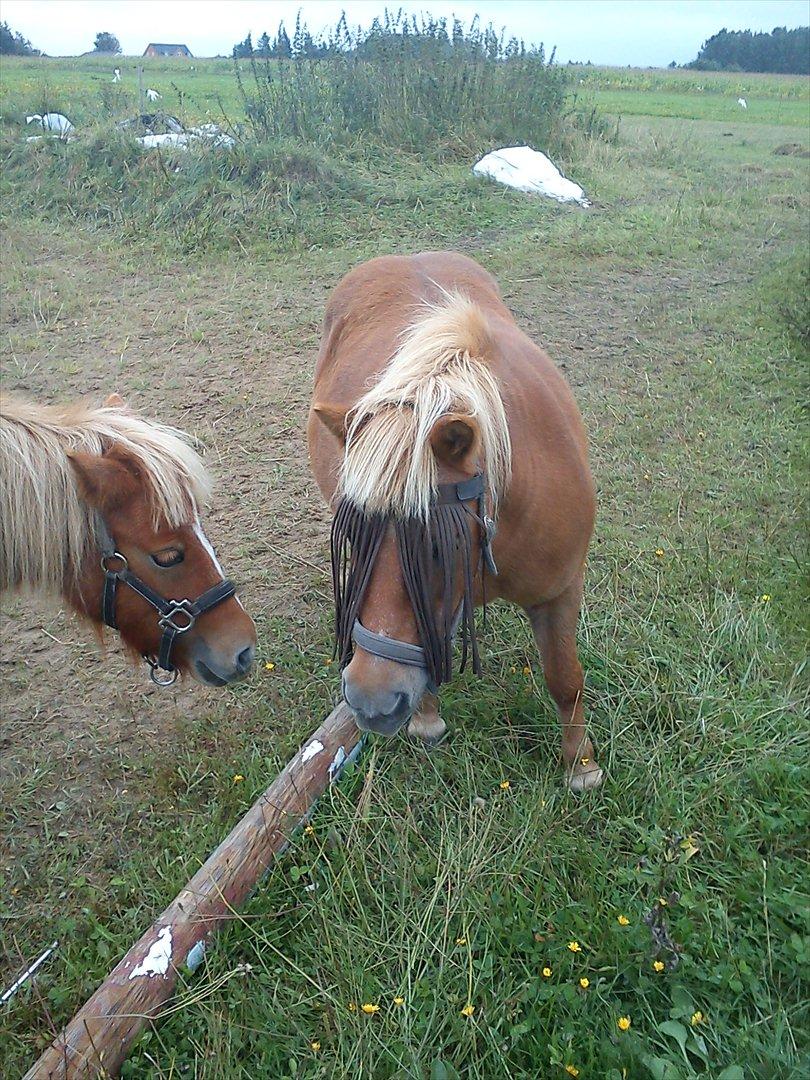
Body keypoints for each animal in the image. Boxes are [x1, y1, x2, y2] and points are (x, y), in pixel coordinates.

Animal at [311, 252, 604, 794]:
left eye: (435, 545)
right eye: (354, 537)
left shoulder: (560, 589)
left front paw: (581, 766)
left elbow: (565, 677)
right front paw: (427, 720)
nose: (369, 702)